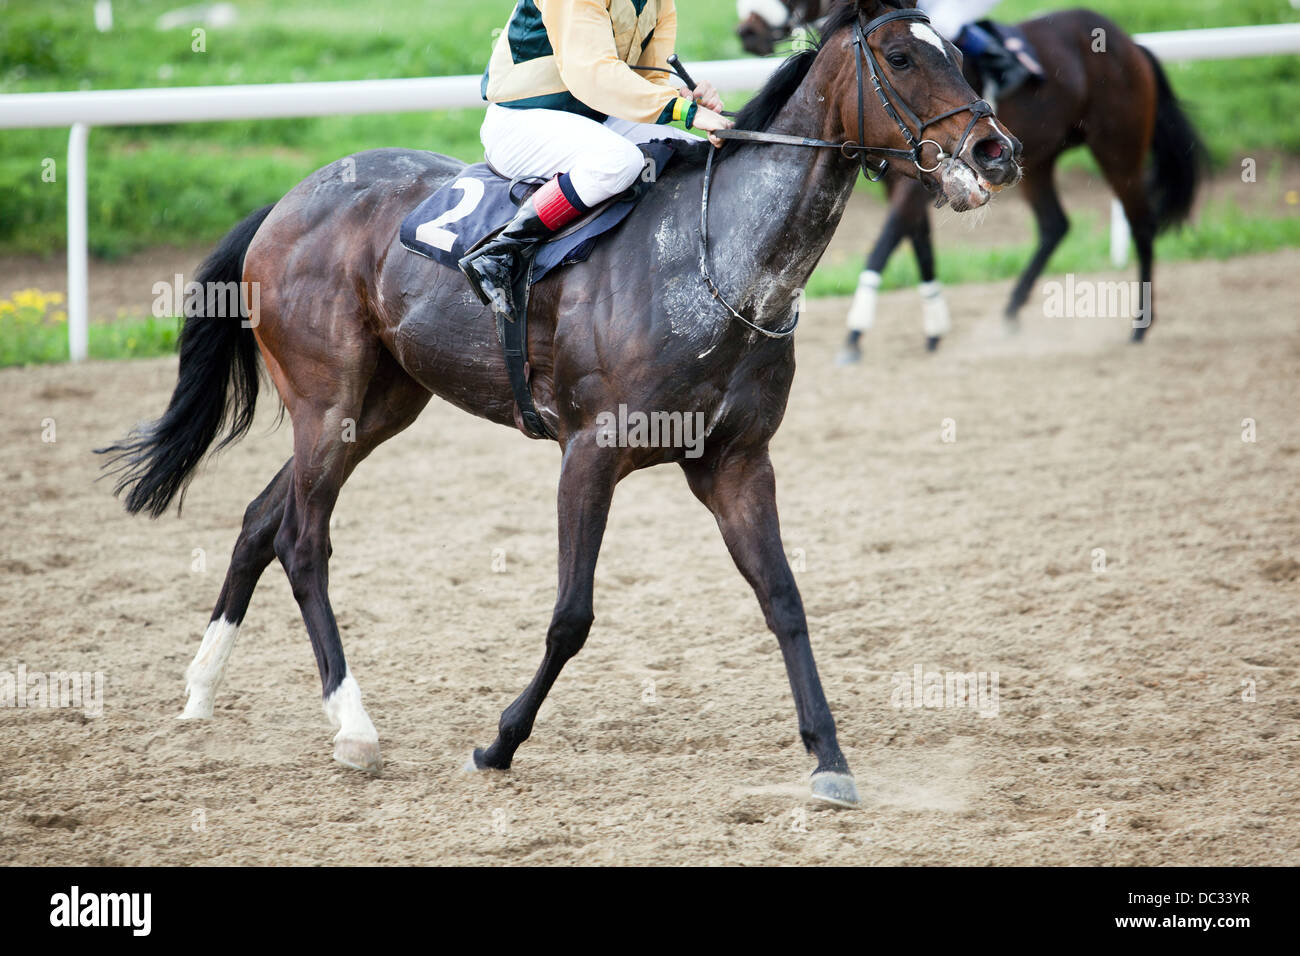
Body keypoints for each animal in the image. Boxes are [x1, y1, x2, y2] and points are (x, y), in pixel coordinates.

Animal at [96, 0, 1019, 806]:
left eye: (958, 51)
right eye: (900, 57)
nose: (995, 149)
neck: (715, 259)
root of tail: (290, 200)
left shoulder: (736, 462)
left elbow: (785, 602)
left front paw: (829, 760)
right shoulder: (591, 455)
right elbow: (572, 616)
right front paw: (499, 742)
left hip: (382, 405)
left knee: (262, 518)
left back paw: (200, 690)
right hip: (331, 403)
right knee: (301, 538)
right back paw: (353, 727)